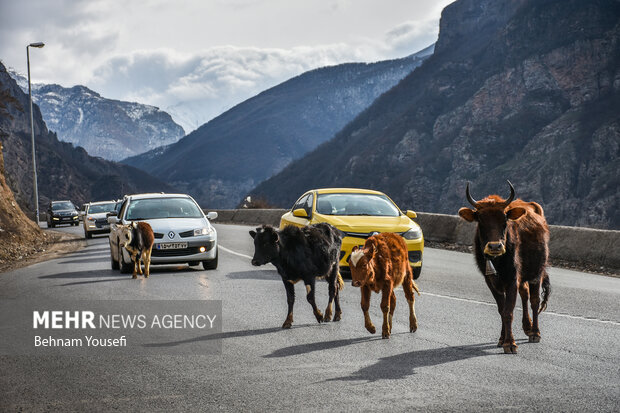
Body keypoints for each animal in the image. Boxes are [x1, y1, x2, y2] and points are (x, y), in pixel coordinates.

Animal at [456, 181, 552, 354]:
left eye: (505, 219)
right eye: (480, 220)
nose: (495, 246)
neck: (497, 261)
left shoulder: (512, 279)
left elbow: (509, 311)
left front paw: (510, 343)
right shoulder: (491, 281)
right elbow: (501, 309)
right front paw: (502, 339)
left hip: (537, 273)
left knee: (534, 300)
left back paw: (535, 333)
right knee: (525, 294)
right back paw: (527, 327)